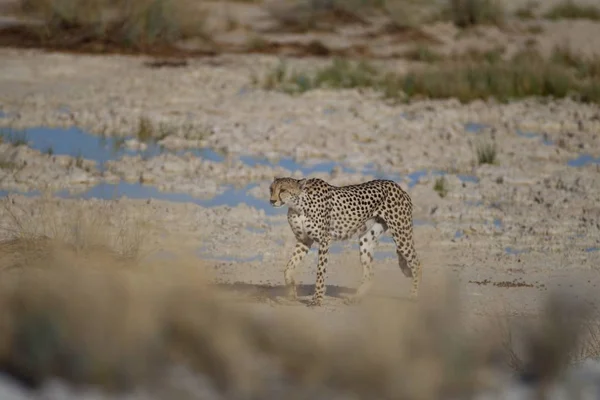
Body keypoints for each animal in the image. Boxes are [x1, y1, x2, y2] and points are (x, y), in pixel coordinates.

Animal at [272, 177, 422, 306]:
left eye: (283, 190)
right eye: (271, 189)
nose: (272, 201)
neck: (298, 205)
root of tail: (397, 186)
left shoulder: (324, 240)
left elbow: (320, 272)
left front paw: (317, 299)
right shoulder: (304, 240)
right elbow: (289, 267)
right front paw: (291, 291)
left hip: (401, 234)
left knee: (416, 263)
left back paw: (414, 295)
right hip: (366, 239)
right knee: (369, 274)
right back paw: (356, 298)